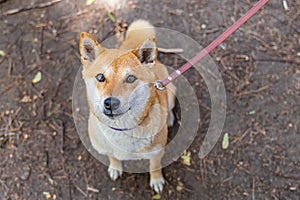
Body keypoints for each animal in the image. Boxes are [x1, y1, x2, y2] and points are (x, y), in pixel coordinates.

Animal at [79, 19, 176, 192]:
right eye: (100, 77)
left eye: (130, 78)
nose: (111, 103)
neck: (122, 130)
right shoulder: (107, 149)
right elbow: (112, 157)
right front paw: (115, 167)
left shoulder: (157, 152)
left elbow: (154, 167)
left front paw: (157, 180)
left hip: (170, 91)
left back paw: (169, 118)